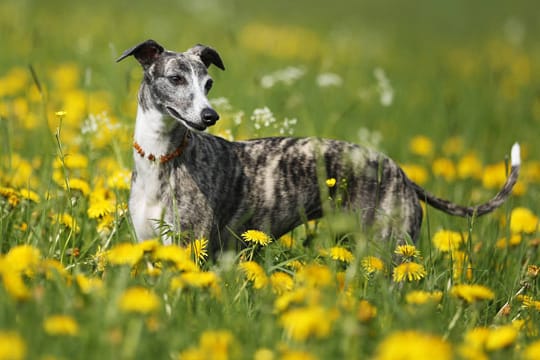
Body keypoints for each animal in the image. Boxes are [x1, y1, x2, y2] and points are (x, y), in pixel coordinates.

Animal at [116, 39, 520, 253]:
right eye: (176, 78)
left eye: (209, 83)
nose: (210, 115)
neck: (162, 158)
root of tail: (401, 173)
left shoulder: (190, 248)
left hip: (389, 250)